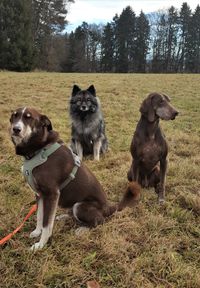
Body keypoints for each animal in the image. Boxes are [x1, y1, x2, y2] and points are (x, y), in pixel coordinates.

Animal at [9, 107, 141, 250]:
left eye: (29, 118)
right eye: (14, 116)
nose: (15, 129)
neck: (39, 149)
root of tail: (109, 207)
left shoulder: (51, 194)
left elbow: (47, 224)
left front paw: (40, 245)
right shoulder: (39, 194)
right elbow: (40, 216)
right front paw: (37, 232)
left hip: (80, 206)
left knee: (99, 221)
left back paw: (82, 229)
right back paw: (64, 217)